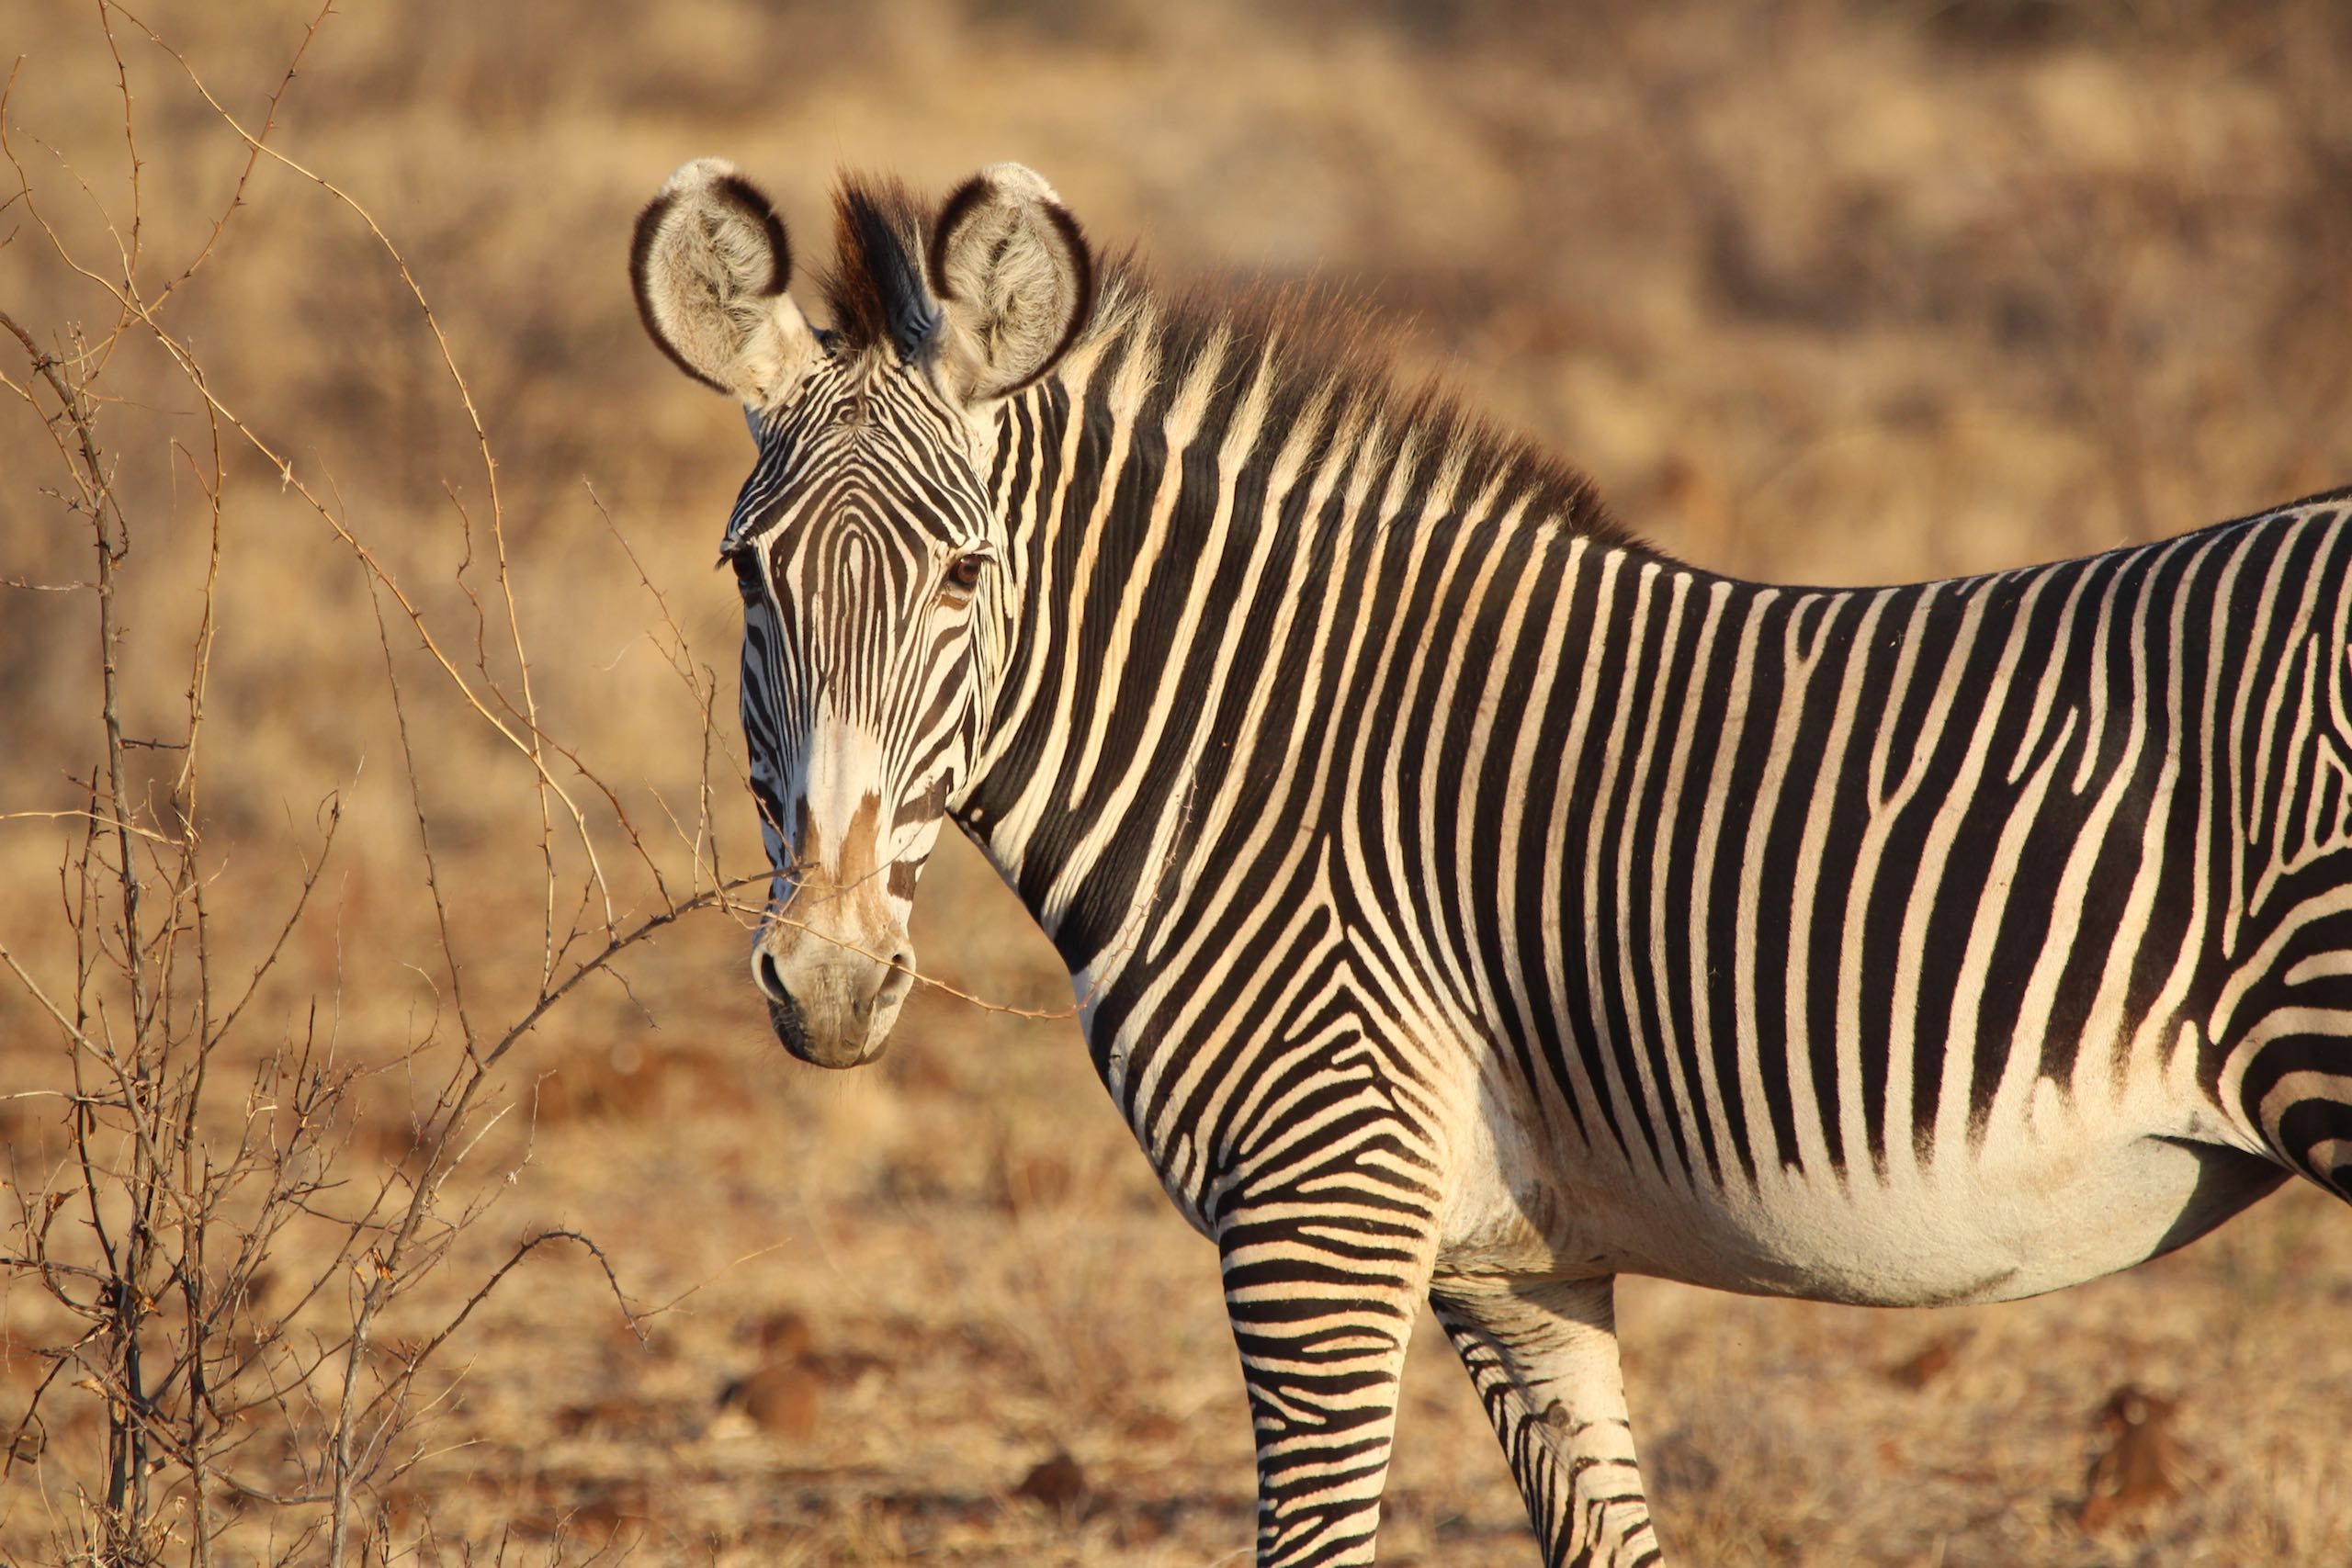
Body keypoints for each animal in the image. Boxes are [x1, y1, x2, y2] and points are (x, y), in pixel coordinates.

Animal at [625, 156, 2352, 1561]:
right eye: (747, 575)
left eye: (967, 572)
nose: (829, 978)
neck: (1266, 746)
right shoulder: (1514, 1266)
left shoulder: (1318, 1212)